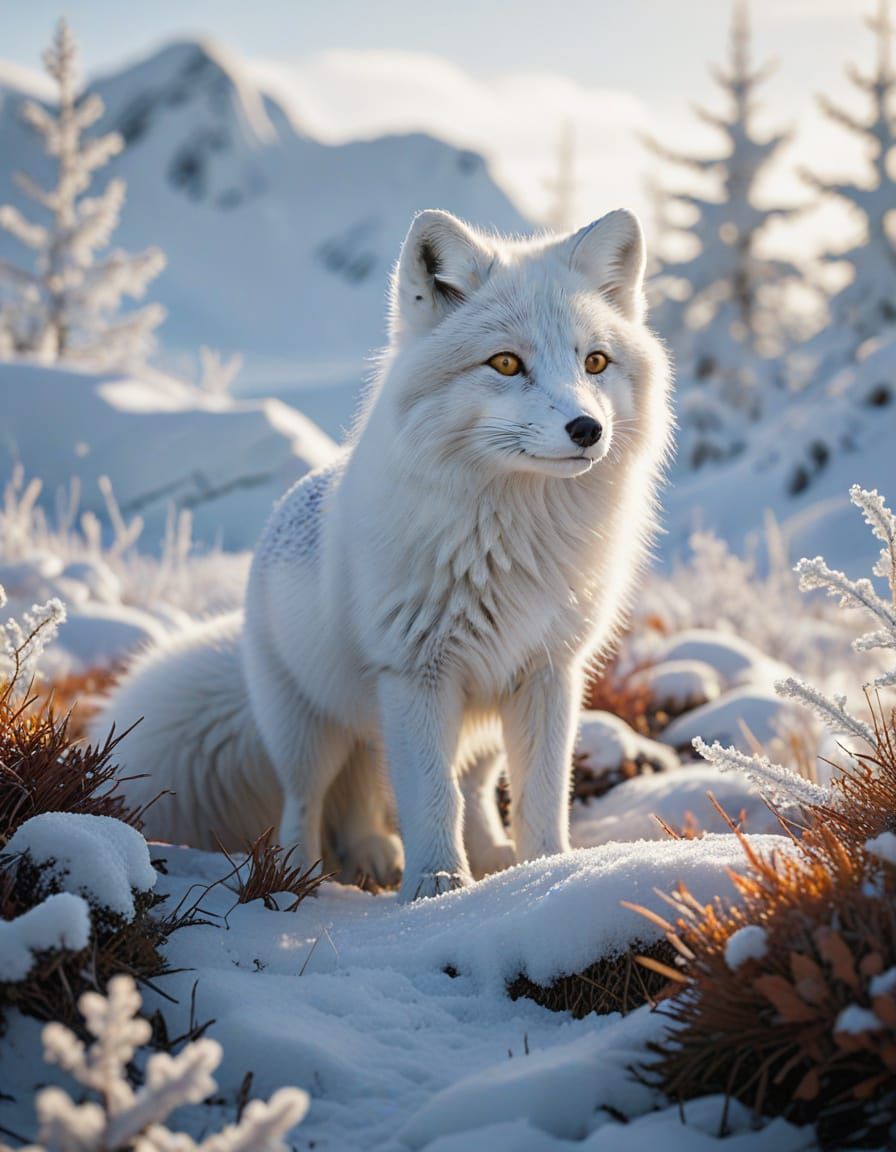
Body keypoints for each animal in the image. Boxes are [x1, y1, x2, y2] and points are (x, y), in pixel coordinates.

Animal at [93, 207, 673, 901]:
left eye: (596, 361)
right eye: (506, 363)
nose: (588, 429)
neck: (511, 540)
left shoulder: (548, 672)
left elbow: (539, 798)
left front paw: (545, 873)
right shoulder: (415, 673)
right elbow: (432, 798)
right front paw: (438, 886)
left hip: (467, 727)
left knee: (449, 791)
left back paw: (454, 856)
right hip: (307, 733)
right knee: (307, 802)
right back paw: (304, 876)